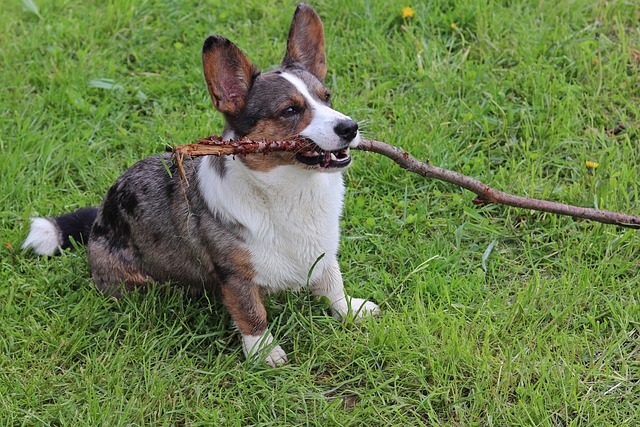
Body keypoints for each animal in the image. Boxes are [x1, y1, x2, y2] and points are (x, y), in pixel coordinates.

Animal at [22, 3, 380, 368]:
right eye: (290, 110)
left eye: (327, 97)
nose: (350, 127)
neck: (290, 190)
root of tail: (99, 218)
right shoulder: (234, 275)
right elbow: (251, 312)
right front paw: (264, 351)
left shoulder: (323, 250)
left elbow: (332, 282)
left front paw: (351, 310)